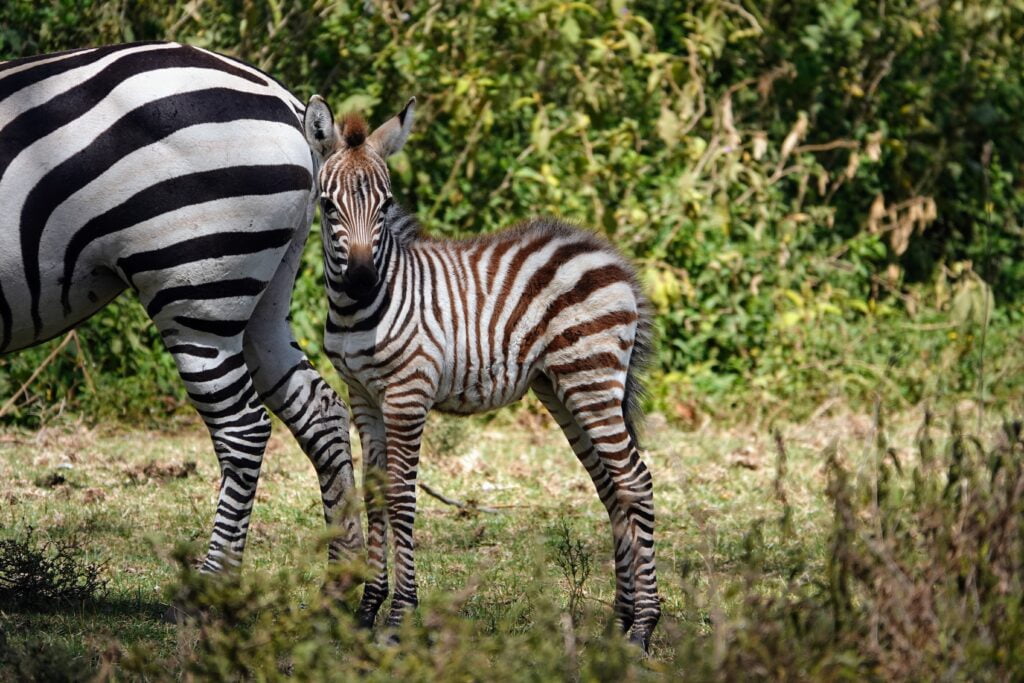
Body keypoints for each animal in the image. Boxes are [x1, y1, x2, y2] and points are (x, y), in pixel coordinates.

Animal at [1, 44, 364, 581]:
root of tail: (284, 99)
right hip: (266, 296)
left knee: (243, 429)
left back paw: (215, 583)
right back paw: (348, 574)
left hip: (196, 286)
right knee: (321, 410)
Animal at [301, 97, 663, 651]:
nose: (361, 282)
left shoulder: (408, 393)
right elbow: (375, 493)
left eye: (386, 206)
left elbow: (402, 498)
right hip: (561, 386)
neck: (356, 311)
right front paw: (366, 613)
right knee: (611, 486)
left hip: (591, 377)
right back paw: (620, 622)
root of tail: (612, 258)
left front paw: (399, 620)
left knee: (635, 480)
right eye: (327, 206)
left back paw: (643, 627)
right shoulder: (362, 394)